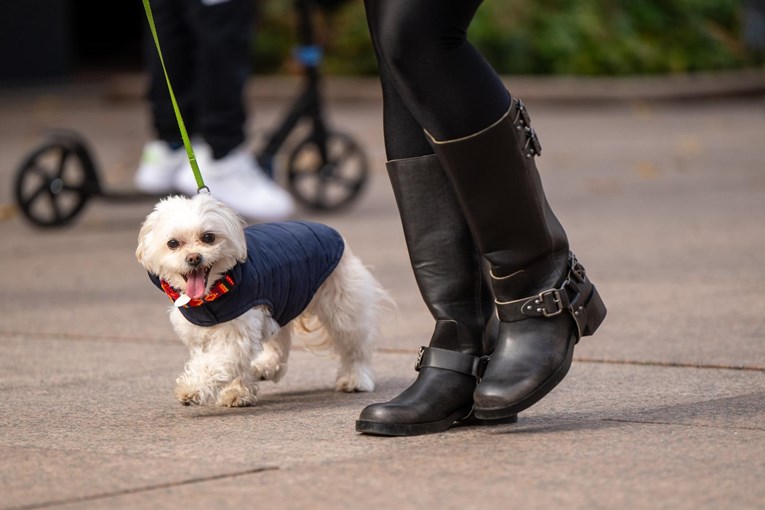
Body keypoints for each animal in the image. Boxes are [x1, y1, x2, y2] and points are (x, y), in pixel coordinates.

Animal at [134, 193, 384, 408]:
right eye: (172, 243)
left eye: (208, 237)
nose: (194, 258)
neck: (211, 296)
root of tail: (328, 229)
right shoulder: (202, 334)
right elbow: (228, 363)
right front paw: (238, 392)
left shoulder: (236, 332)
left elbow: (216, 363)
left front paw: (194, 389)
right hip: (281, 301)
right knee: (279, 342)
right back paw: (267, 367)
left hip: (343, 309)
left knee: (354, 348)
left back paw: (355, 379)